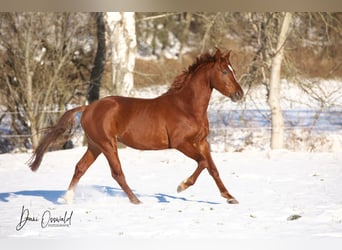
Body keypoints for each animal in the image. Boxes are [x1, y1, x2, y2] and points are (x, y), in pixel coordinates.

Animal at [28, 47, 243, 204]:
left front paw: (230, 197)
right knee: (117, 173)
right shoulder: (181, 143)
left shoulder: (202, 142)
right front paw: (181, 186)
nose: (239, 94)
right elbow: (203, 162)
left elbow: (213, 168)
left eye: (233, 70)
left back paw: (67, 199)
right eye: (224, 71)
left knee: (80, 167)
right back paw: (136, 201)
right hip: (108, 144)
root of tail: (88, 107)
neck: (186, 107)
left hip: (95, 146)